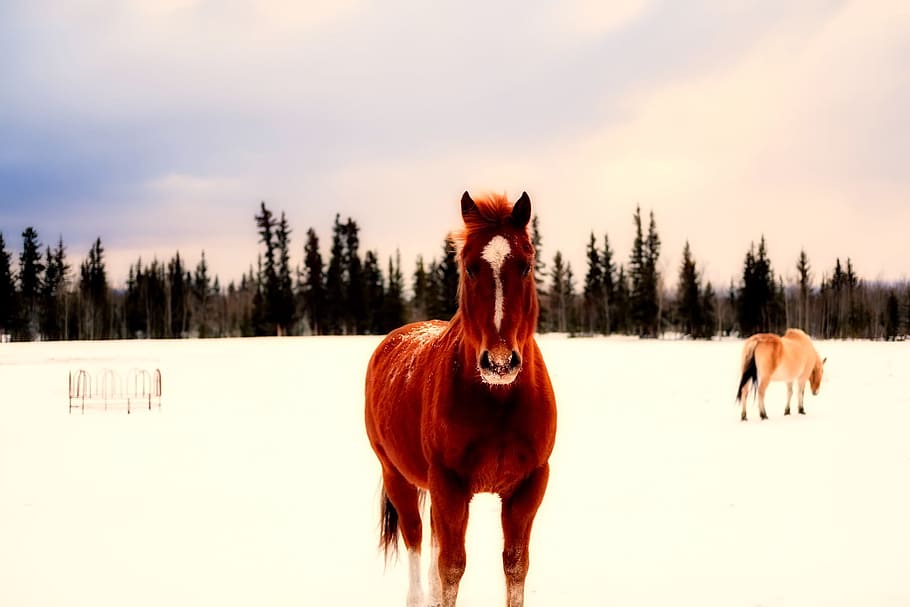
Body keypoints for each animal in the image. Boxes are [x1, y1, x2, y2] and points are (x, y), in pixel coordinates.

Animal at [364, 191, 557, 607]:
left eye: (526, 266)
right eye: (469, 268)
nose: (499, 362)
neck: (498, 401)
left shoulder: (529, 485)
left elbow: (515, 566)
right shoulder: (449, 485)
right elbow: (451, 568)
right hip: (398, 477)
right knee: (417, 541)